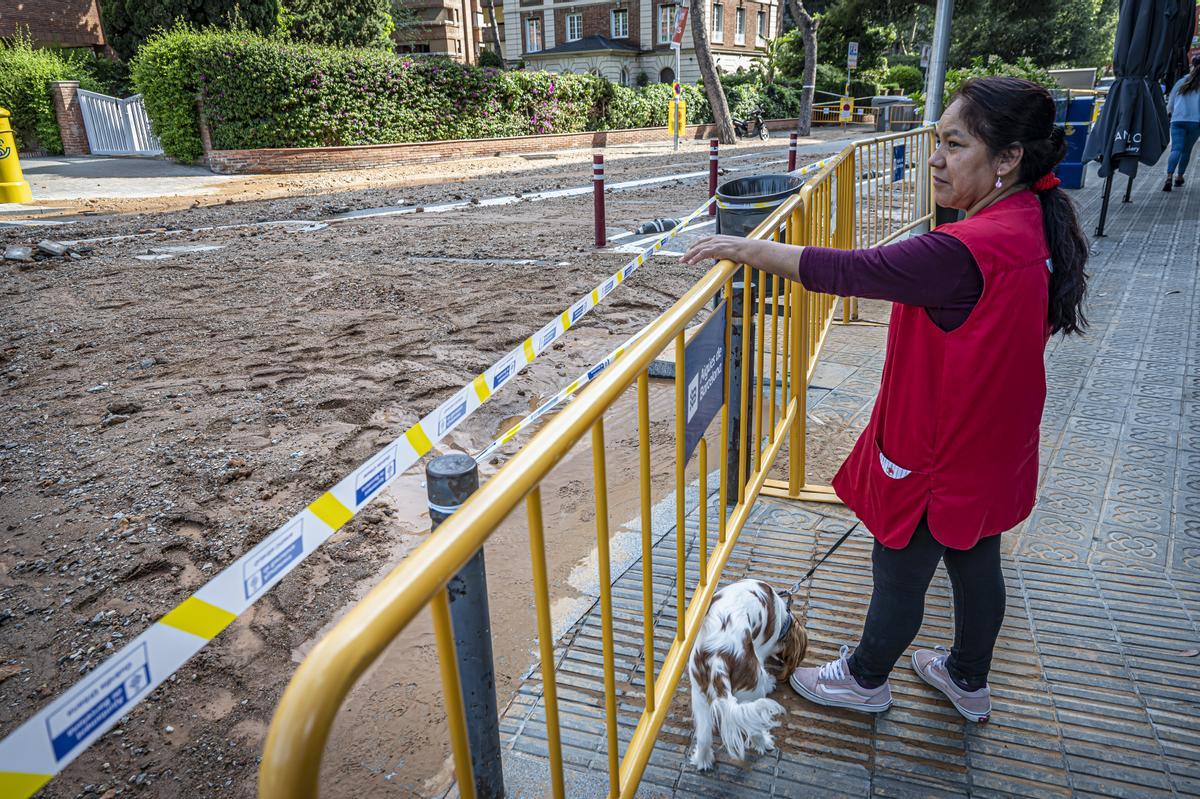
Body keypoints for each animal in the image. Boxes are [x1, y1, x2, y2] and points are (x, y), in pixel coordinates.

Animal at [686, 575, 806, 767]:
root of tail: (718, 657)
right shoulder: (761, 651)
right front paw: (771, 682)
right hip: (752, 692)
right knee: (754, 727)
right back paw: (764, 743)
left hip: (700, 696)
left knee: (704, 737)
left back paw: (702, 761)